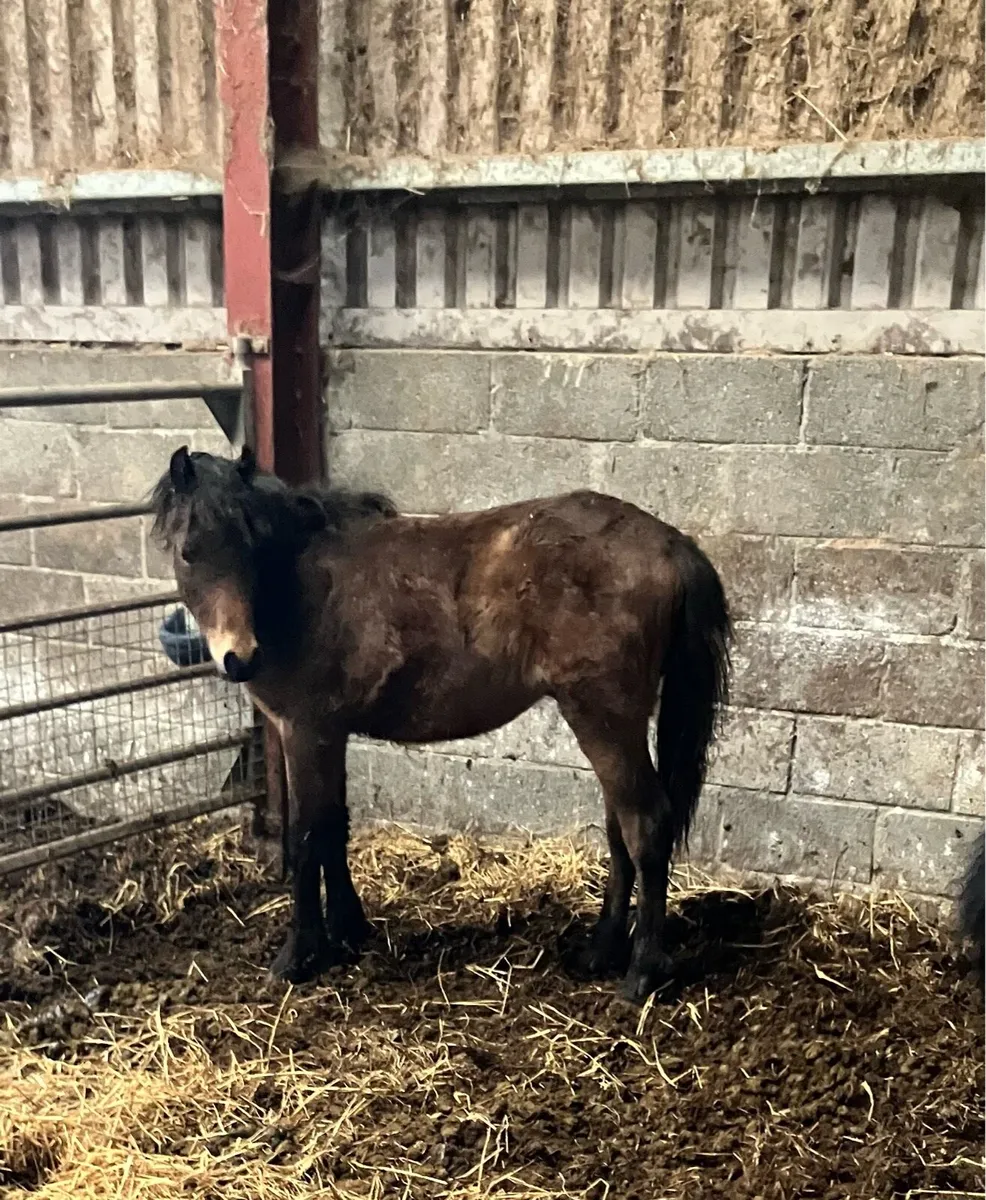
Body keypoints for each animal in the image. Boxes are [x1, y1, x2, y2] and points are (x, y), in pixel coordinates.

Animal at [152, 446, 731, 1002]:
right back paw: (600, 952)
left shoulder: (305, 733)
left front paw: (297, 956)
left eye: (252, 547)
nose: (240, 658)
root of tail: (670, 544)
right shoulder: (330, 735)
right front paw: (348, 934)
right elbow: (335, 826)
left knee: (645, 825)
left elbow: (307, 836)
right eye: (189, 552)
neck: (303, 592)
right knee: (620, 829)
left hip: (602, 719)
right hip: (613, 725)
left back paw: (640, 975)